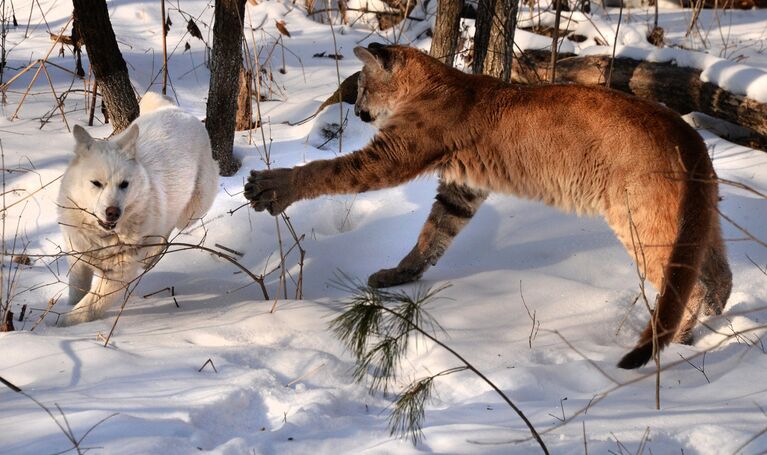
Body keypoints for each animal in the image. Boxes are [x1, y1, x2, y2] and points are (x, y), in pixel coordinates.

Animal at [57, 94, 216, 326]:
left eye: (124, 184)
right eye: (96, 183)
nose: (113, 212)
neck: (103, 238)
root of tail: (176, 109)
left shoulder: (118, 274)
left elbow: (86, 308)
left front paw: (57, 325)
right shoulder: (78, 257)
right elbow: (76, 293)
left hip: (192, 212)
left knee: (170, 228)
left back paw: (151, 254)